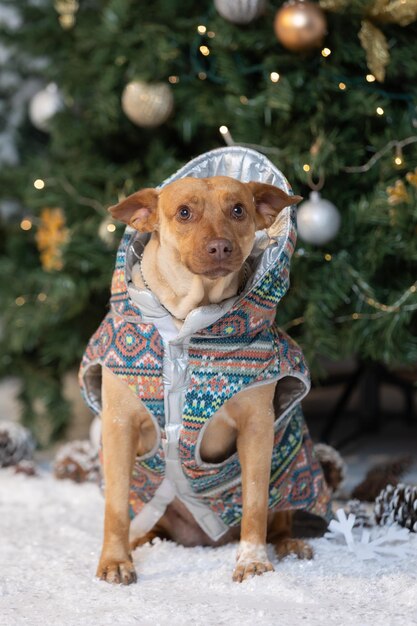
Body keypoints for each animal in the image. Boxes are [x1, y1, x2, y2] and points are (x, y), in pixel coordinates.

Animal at [79, 173, 330, 584]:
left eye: (238, 209)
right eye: (184, 212)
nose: (220, 246)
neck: (185, 322)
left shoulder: (257, 428)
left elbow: (255, 503)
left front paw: (252, 561)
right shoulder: (119, 425)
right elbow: (115, 507)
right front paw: (115, 561)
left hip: (289, 466)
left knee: (279, 519)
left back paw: (290, 544)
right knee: (146, 523)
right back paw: (141, 542)